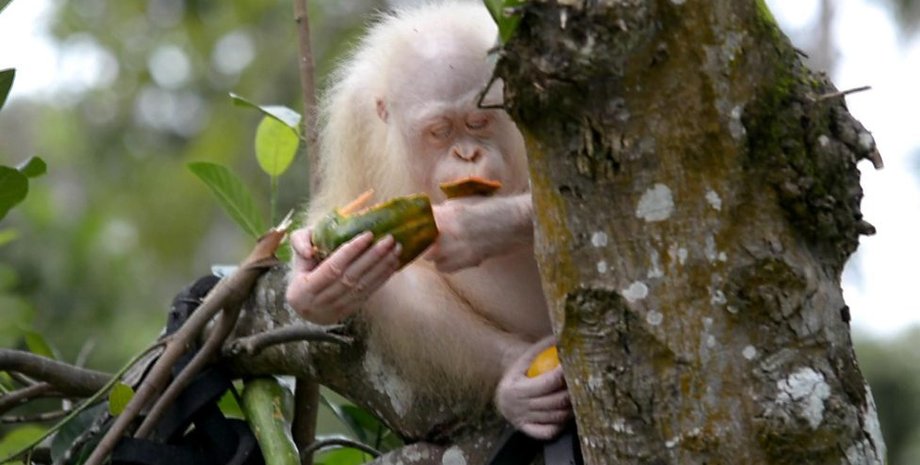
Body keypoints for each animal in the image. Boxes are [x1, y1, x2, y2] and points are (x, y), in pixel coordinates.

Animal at [285, 0, 571, 440]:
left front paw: (479, 227)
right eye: (439, 132)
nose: (467, 154)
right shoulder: (355, 118)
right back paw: (514, 379)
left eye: (478, 122)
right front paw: (311, 280)